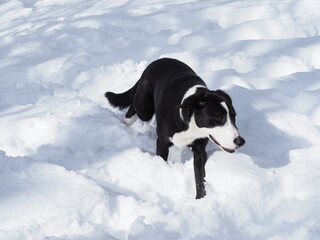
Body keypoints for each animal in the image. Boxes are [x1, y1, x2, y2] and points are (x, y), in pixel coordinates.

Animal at [105, 57, 245, 199]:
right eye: (220, 118)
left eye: (234, 116)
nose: (241, 141)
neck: (189, 121)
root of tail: (156, 61)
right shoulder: (162, 142)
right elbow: (162, 161)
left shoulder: (199, 150)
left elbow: (200, 178)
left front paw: (201, 199)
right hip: (145, 108)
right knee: (135, 103)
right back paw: (126, 122)